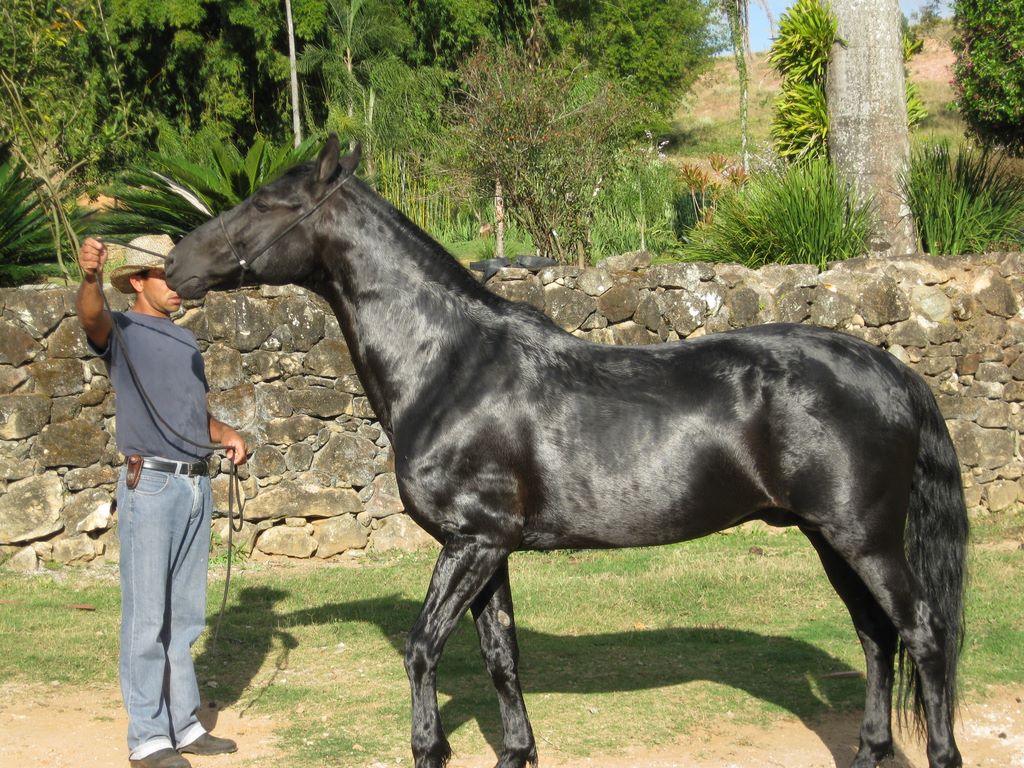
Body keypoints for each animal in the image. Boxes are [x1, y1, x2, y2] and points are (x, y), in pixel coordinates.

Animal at [166, 135, 969, 768]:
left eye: (269, 203)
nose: (172, 265)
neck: (450, 364)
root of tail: (890, 368)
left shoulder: (470, 542)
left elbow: (423, 647)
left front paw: (430, 748)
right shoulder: (489, 548)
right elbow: (501, 657)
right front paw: (517, 752)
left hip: (864, 538)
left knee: (924, 634)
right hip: (828, 537)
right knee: (876, 636)